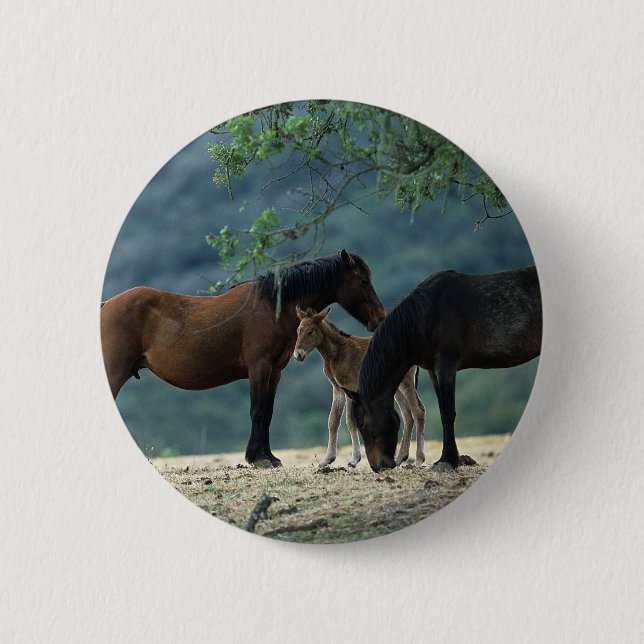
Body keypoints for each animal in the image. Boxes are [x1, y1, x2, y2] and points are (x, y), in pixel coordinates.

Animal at [101, 250, 386, 468]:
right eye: (363, 281)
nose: (380, 318)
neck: (272, 307)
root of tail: (107, 305)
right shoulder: (259, 367)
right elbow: (257, 410)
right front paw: (258, 459)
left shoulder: (275, 372)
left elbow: (268, 412)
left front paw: (269, 456)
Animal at [292, 307, 426, 468]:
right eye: (298, 330)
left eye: (311, 331)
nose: (297, 355)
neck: (337, 352)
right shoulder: (337, 389)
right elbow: (333, 421)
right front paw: (327, 459)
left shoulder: (350, 387)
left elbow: (350, 422)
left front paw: (354, 459)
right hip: (396, 387)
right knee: (407, 414)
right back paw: (400, 458)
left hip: (406, 382)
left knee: (418, 410)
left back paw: (418, 459)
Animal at [343, 266, 542, 472]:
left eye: (361, 423)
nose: (377, 466)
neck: (426, 316)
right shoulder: (433, 370)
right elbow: (441, 410)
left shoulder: (446, 365)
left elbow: (447, 412)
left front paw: (448, 460)